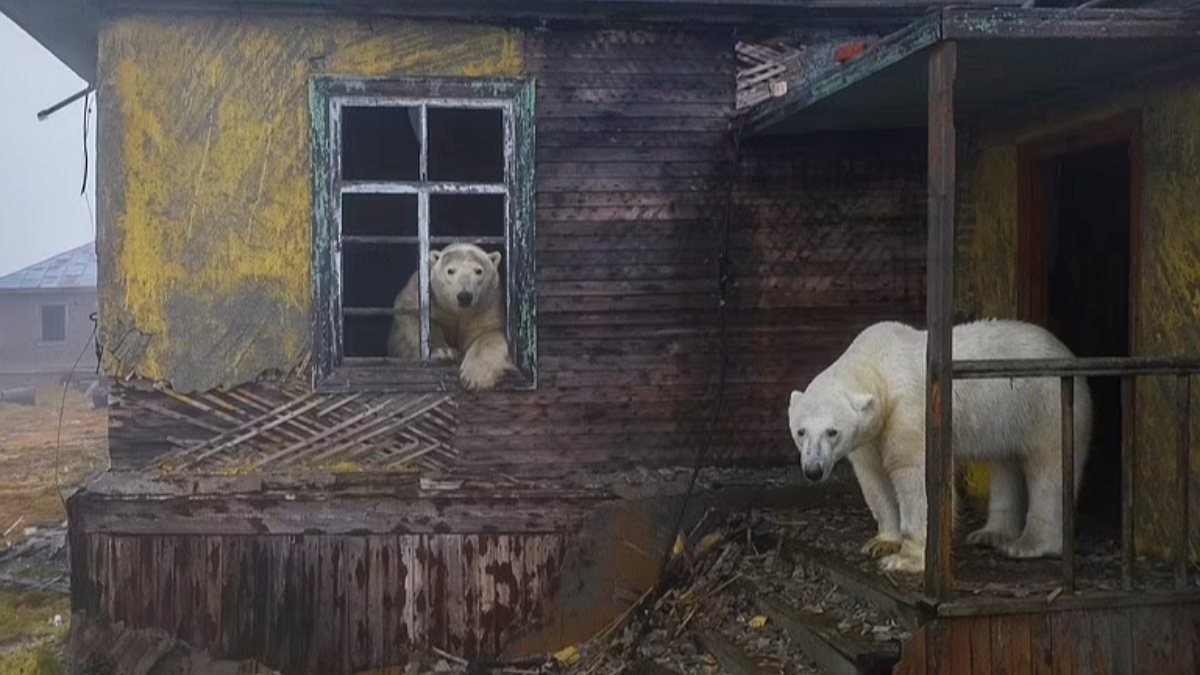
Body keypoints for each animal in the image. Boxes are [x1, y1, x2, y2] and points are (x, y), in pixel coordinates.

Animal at [386, 241, 513, 389]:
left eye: (478, 271)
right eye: (450, 271)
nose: (464, 296)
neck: (458, 312)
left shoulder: (488, 305)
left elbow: (490, 333)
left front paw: (474, 377)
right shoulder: (425, 295)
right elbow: (412, 315)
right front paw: (444, 352)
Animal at [782, 317, 1094, 569]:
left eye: (832, 432)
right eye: (801, 431)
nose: (813, 470)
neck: (878, 362)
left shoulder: (910, 410)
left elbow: (916, 474)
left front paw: (905, 558)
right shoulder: (870, 435)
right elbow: (873, 478)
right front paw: (881, 541)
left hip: (1045, 404)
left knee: (1049, 467)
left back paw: (1028, 544)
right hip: (1007, 418)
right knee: (1004, 462)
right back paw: (991, 533)